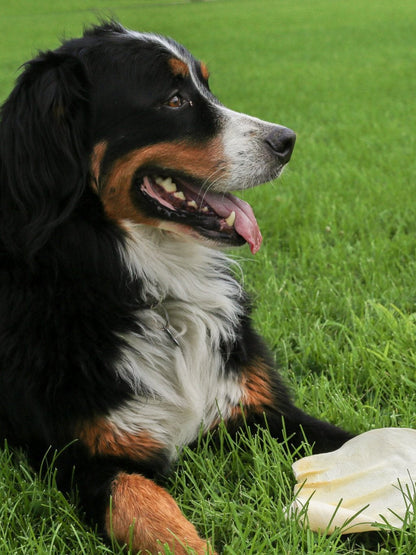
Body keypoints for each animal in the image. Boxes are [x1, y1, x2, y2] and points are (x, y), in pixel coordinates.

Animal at [0, 21, 352, 555]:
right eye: (173, 100)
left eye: (206, 87)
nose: (287, 140)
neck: (156, 293)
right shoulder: (80, 457)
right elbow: (146, 507)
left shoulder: (258, 406)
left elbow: (355, 442)